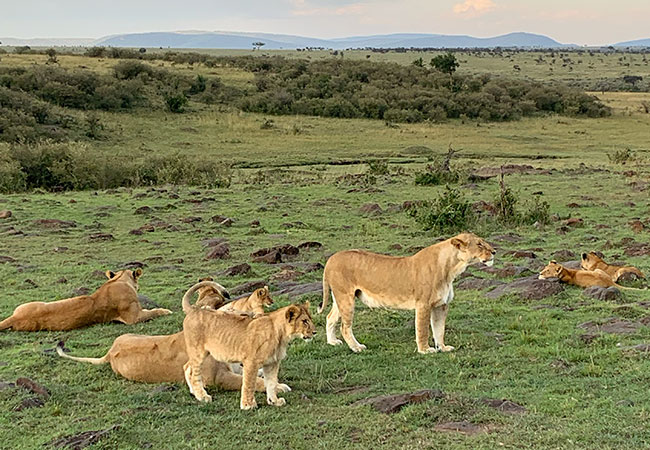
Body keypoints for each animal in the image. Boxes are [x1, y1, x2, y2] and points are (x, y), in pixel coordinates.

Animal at [182, 300, 314, 410]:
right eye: (304, 321)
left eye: (310, 319)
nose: (315, 332)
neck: (281, 334)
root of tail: (194, 310)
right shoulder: (251, 361)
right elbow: (249, 383)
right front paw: (248, 405)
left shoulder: (272, 363)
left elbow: (271, 383)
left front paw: (274, 401)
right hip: (198, 351)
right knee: (193, 372)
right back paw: (202, 396)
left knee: (187, 367)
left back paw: (194, 392)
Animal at [318, 232, 492, 356]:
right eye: (479, 244)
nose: (494, 252)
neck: (451, 268)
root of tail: (331, 258)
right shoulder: (423, 304)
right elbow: (423, 329)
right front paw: (425, 350)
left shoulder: (441, 305)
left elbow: (439, 329)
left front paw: (442, 347)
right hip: (345, 297)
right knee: (345, 327)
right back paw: (357, 347)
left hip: (340, 297)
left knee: (330, 317)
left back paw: (332, 342)